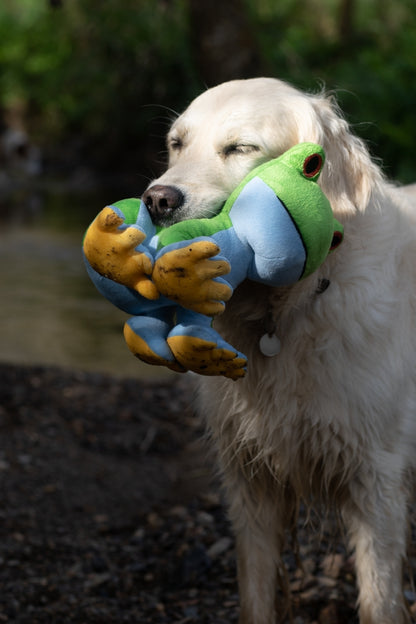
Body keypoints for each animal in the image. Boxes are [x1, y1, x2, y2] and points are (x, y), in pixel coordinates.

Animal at [144, 79, 416, 624]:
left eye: (241, 148)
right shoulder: (250, 478)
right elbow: (256, 590)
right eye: (176, 144)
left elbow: (380, 598)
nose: (158, 199)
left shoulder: (379, 477)